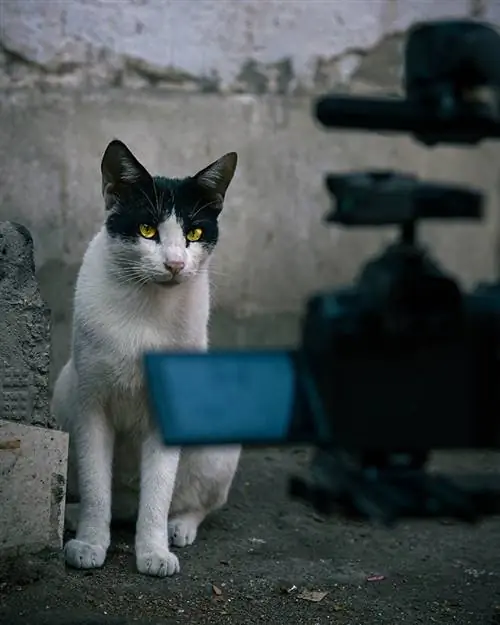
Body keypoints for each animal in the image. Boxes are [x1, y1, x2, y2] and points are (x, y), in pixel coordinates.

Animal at [51, 139, 243, 576]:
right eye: (147, 230)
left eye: (193, 232)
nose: (174, 263)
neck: (147, 311)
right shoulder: (91, 408)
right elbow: (96, 487)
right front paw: (90, 543)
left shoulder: (165, 414)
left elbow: (158, 492)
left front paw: (154, 552)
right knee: (105, 497)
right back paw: (75, 517)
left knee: (195, 503)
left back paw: (179, 527)